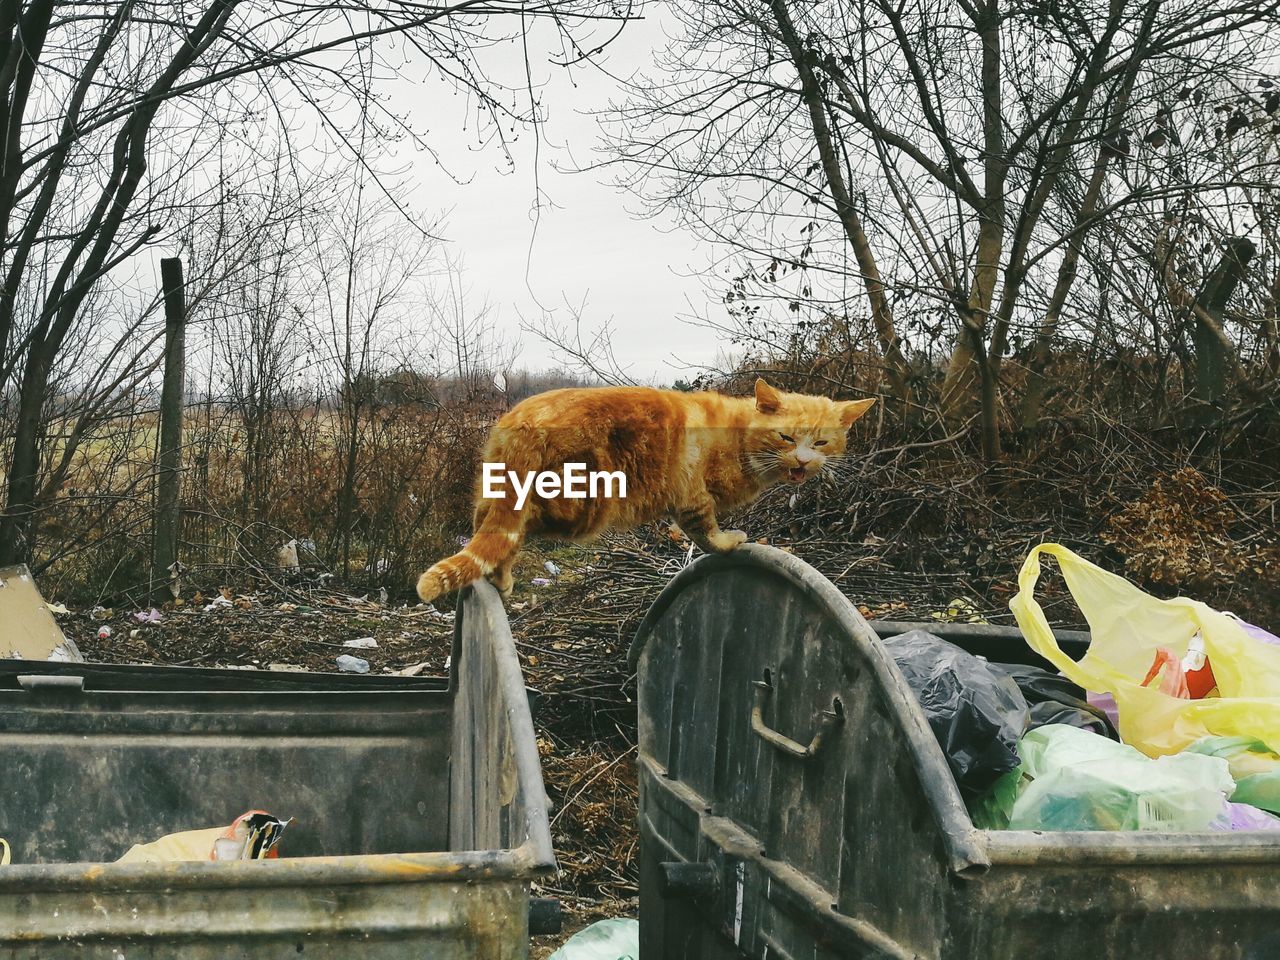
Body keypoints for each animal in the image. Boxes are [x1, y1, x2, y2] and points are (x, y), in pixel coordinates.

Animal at [414, 381, 875, 601]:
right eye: (785, 437)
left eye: (822, 443)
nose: (803, 462)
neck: (739, 435)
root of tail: (526, 419)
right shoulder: (692, 498)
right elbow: (708, 534)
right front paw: (730, 541)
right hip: (583, 508)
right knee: (512, 530)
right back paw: (502, 574)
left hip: (497, 486)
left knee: (486, 525)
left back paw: (499, 577)